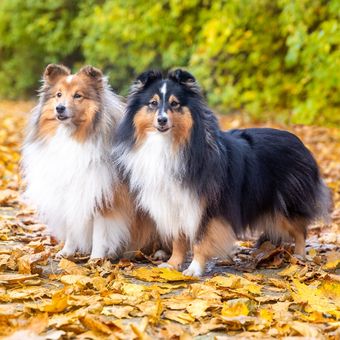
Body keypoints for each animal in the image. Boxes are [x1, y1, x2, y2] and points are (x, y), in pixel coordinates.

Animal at [21, 65, 154, 258]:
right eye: (58, 94)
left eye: (78, 95)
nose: (59, 108)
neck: (72, 136)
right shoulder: (72, 193)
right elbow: (71, 226)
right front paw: (67, 252)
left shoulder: (102, 195)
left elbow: (99, 232)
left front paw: (96, 259)